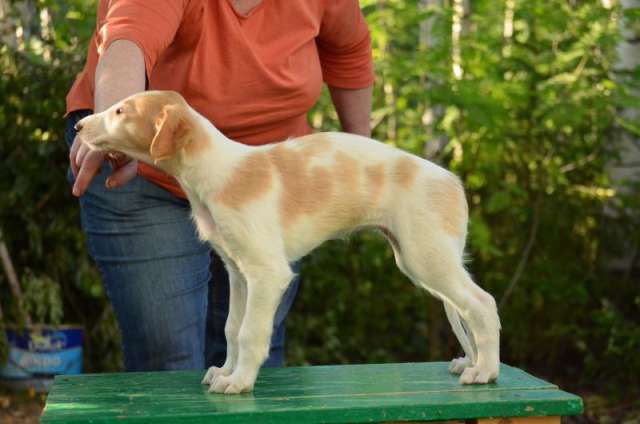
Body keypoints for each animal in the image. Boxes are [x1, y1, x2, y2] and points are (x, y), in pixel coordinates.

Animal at [75, 90, 502, 394]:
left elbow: (250, 332)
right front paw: (224, 372)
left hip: (426, 257)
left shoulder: (268, 273)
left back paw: (485, 371)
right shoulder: (238, 272)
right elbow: (231, 328)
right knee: (468, 309)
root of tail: (452, 182)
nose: (78, 127)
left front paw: (239, 382)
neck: (217, 169)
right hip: (422, 260)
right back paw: (472, 363)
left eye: (120, 111)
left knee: (483, 304)